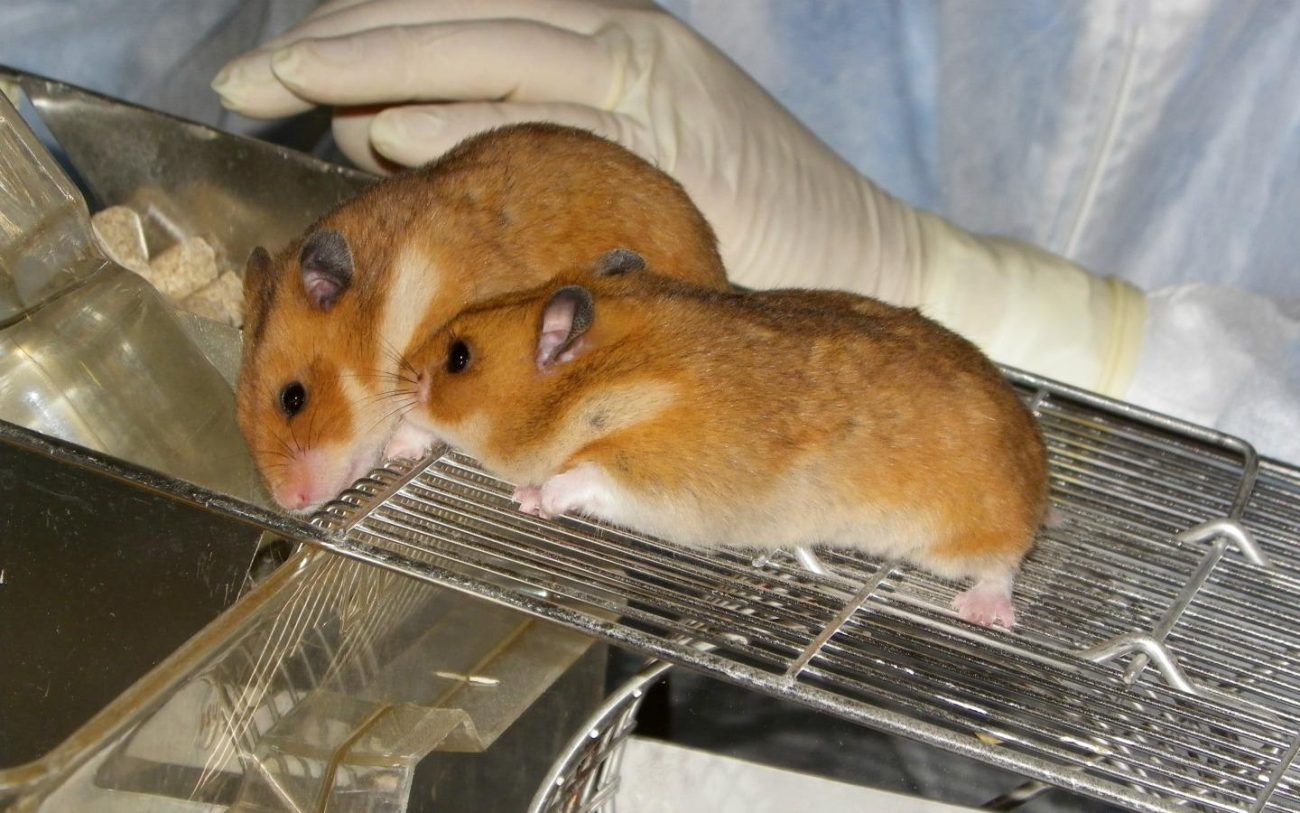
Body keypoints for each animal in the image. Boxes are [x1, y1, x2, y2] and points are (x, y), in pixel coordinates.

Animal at [392, 252, 1050, 628]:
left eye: (458, 358)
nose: (405, 370)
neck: (601, 380)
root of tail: (1039, 471)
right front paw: (404, 443)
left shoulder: (652, 472)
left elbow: (581, 477)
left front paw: (529, 499)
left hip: (962, 530)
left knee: (1002, 566)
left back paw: (982, 614)